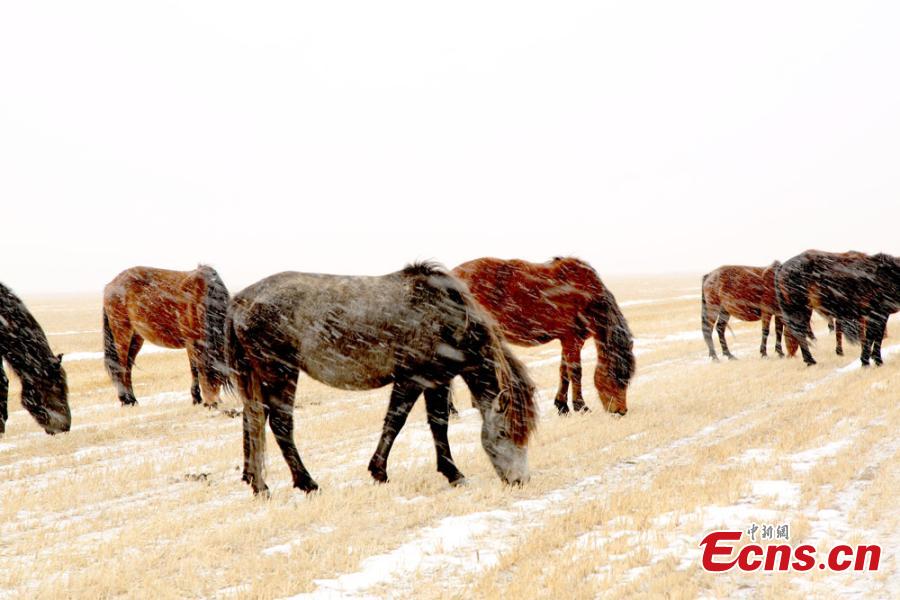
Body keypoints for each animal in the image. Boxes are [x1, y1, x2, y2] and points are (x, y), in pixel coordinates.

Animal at [103, 265, 230, 407]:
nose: (212, 403)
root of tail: (110, 285)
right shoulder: (191, 341)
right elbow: (194, 369)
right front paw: (196, 398)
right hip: (122, 333)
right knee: (121, 366)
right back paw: (126, 400)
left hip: (136, 338)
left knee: (128, 367)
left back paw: (133, 400)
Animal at [225, 262, 537, 496]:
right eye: (503, 432)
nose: (520, 480)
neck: (443, 314)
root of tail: (240, 300)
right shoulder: (414, 380)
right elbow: (397, 422)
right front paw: (382, 472)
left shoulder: (438, 382)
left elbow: (436, 425)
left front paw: (449, 473)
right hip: (280, 373)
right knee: (279, 425)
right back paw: (307, 483)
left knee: (253, 421)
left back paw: (258, 483)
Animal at [452, 257, 634, 416]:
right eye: (613, 375)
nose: (621, 411)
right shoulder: (572, 339)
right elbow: (575, 372)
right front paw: (581, 407)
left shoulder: (569, 341)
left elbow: (564, 372)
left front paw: (562, 406)